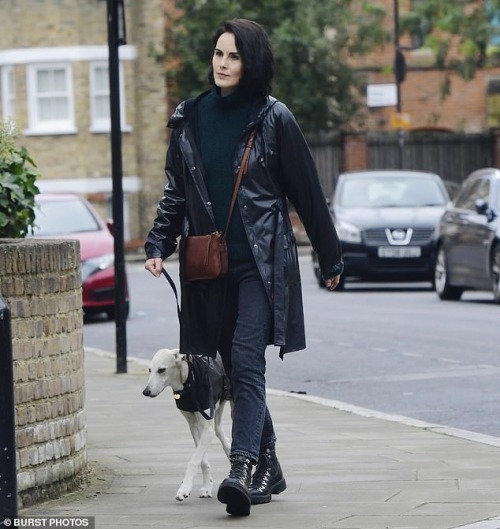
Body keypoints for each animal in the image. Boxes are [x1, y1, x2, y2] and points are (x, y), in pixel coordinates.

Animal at [143, 348, 232, 502]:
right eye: (149, 369)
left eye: (162, 370)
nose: (146, 392)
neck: (189, 380)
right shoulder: (194, 426)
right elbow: (202, 461)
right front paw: (206, 487)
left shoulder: (206, 429)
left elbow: (193, 461)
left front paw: (184, 489)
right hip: (217, 410)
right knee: (222, 434)